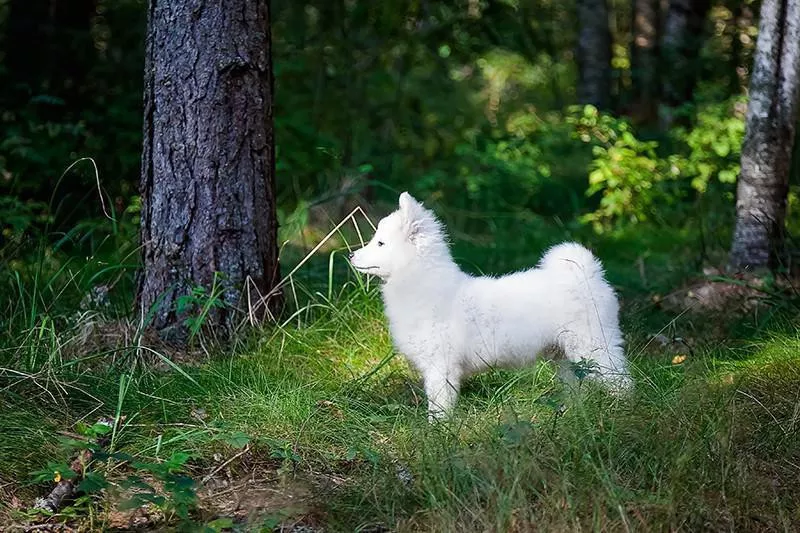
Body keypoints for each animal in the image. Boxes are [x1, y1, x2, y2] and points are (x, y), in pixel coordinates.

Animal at [350, 192, 632, 420]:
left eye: (380, 243)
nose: (351, 255)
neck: (423, 285)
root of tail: (586, 275)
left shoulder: (441, 367)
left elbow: (438, 408)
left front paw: (437, 434)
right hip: (565, 357)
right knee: (577, 388)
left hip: (594, 347)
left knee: (622, 382)